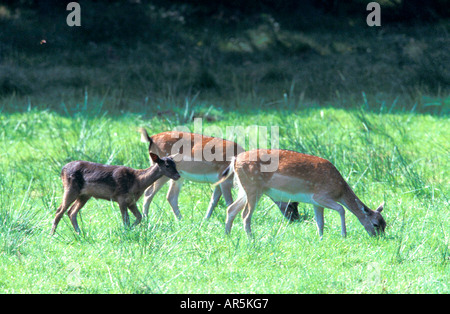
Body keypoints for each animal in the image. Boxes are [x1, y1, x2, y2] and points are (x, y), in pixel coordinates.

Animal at [50, 153, 180, 234]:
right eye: (167, 165)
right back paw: (52, 234)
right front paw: (126, 231)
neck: (137, 182)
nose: (178, 176)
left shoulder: (131, 201)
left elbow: (139, 217)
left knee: (71, 212)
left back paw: (79, 233)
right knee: (59, 211)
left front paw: (130, 230)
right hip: (71, 188)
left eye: (175, 164)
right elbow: (126, 219)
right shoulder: (121, 198)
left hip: (84, 195)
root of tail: (62, 170)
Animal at [139, 127, 300, 221]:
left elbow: (214, 200)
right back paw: (147, 218)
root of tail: (151, 139)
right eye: (292, 203)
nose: (297, 219)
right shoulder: (225, 178)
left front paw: (205, 220)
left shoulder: (218, 180)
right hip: (163, 170)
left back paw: (181, 219)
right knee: (149, 192)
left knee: (170, 196)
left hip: (178, 176)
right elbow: (228, 201)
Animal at [216, 150, 384, 238]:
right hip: (253, 187)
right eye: (376, 224)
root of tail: (235, 160)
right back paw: (251, 238)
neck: (340, 189)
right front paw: (344, 234)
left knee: (231, 209)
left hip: (245, 188)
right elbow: (342, 209)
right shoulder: (320, 196)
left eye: (385, 224)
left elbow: (320, 221)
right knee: (245, 215)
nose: (379, 238)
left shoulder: (316, 203)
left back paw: (227, 235)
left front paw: (320, 238)